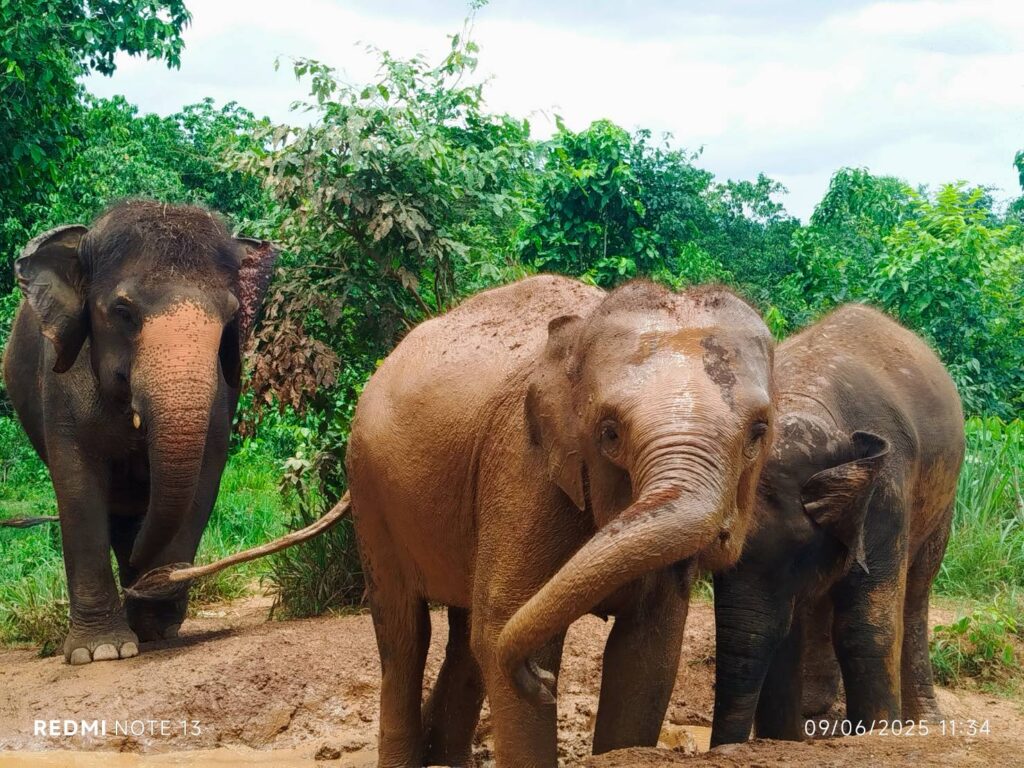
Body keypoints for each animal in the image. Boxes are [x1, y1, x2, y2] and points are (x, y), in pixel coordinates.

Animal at [2, 200, 277, 664]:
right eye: (123, 313)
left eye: (230, 318)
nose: (143, 580)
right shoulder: (61, 385)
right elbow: (77, 485)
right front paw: (100, 651)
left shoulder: (220, 395)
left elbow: (203, 480)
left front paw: (154, 625)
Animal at [345, 275, 775, 767]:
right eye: (609, 433)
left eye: (759, 432)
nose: (543, 683)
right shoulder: (523, 467)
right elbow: (500, 623)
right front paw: (535, 673)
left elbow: (647, 649)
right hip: (370, 493)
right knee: (404, 634)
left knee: (464, 637)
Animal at [710, 304, 964, 746]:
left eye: (797, 552)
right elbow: (790, 626)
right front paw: (786, 740)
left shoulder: (886, 488)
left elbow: (864, 622)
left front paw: (877, 732)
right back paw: (816, 712)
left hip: (942, 500)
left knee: (917, 590)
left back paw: (926, 723)